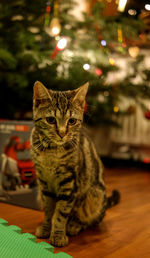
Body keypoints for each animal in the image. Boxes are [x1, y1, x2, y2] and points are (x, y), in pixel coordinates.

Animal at [30, 81, 119, 247]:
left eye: (71, 121)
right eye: (50, 120)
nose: (62, 133)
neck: (52, 151)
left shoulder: (69, 182)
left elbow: (61, 212)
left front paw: (58, 234)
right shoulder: (44, 182)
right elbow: (48, 208)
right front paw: (46, 227)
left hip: (95, 196)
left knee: (92, 219)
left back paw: (74, 225)